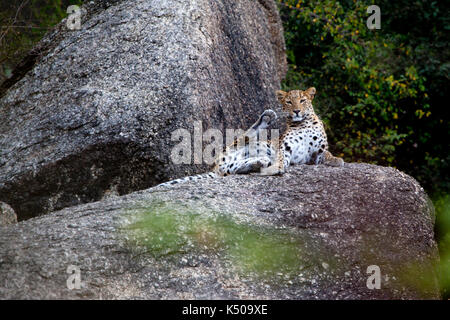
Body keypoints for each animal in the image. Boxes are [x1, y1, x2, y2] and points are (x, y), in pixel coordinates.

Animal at [156, 87, 342, 188]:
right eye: (289, 102)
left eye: (303, 101)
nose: (296, 111)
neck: (304, 123)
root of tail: (215, 167)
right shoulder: (285, 147)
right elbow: (281, 158)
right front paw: (276, 168)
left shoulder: (316, 153)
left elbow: (326, 154)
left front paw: (337, 160)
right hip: (237, 145)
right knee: (245, 137)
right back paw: (267, 118)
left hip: (233, 163)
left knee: (233, 169)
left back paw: (259, 162)